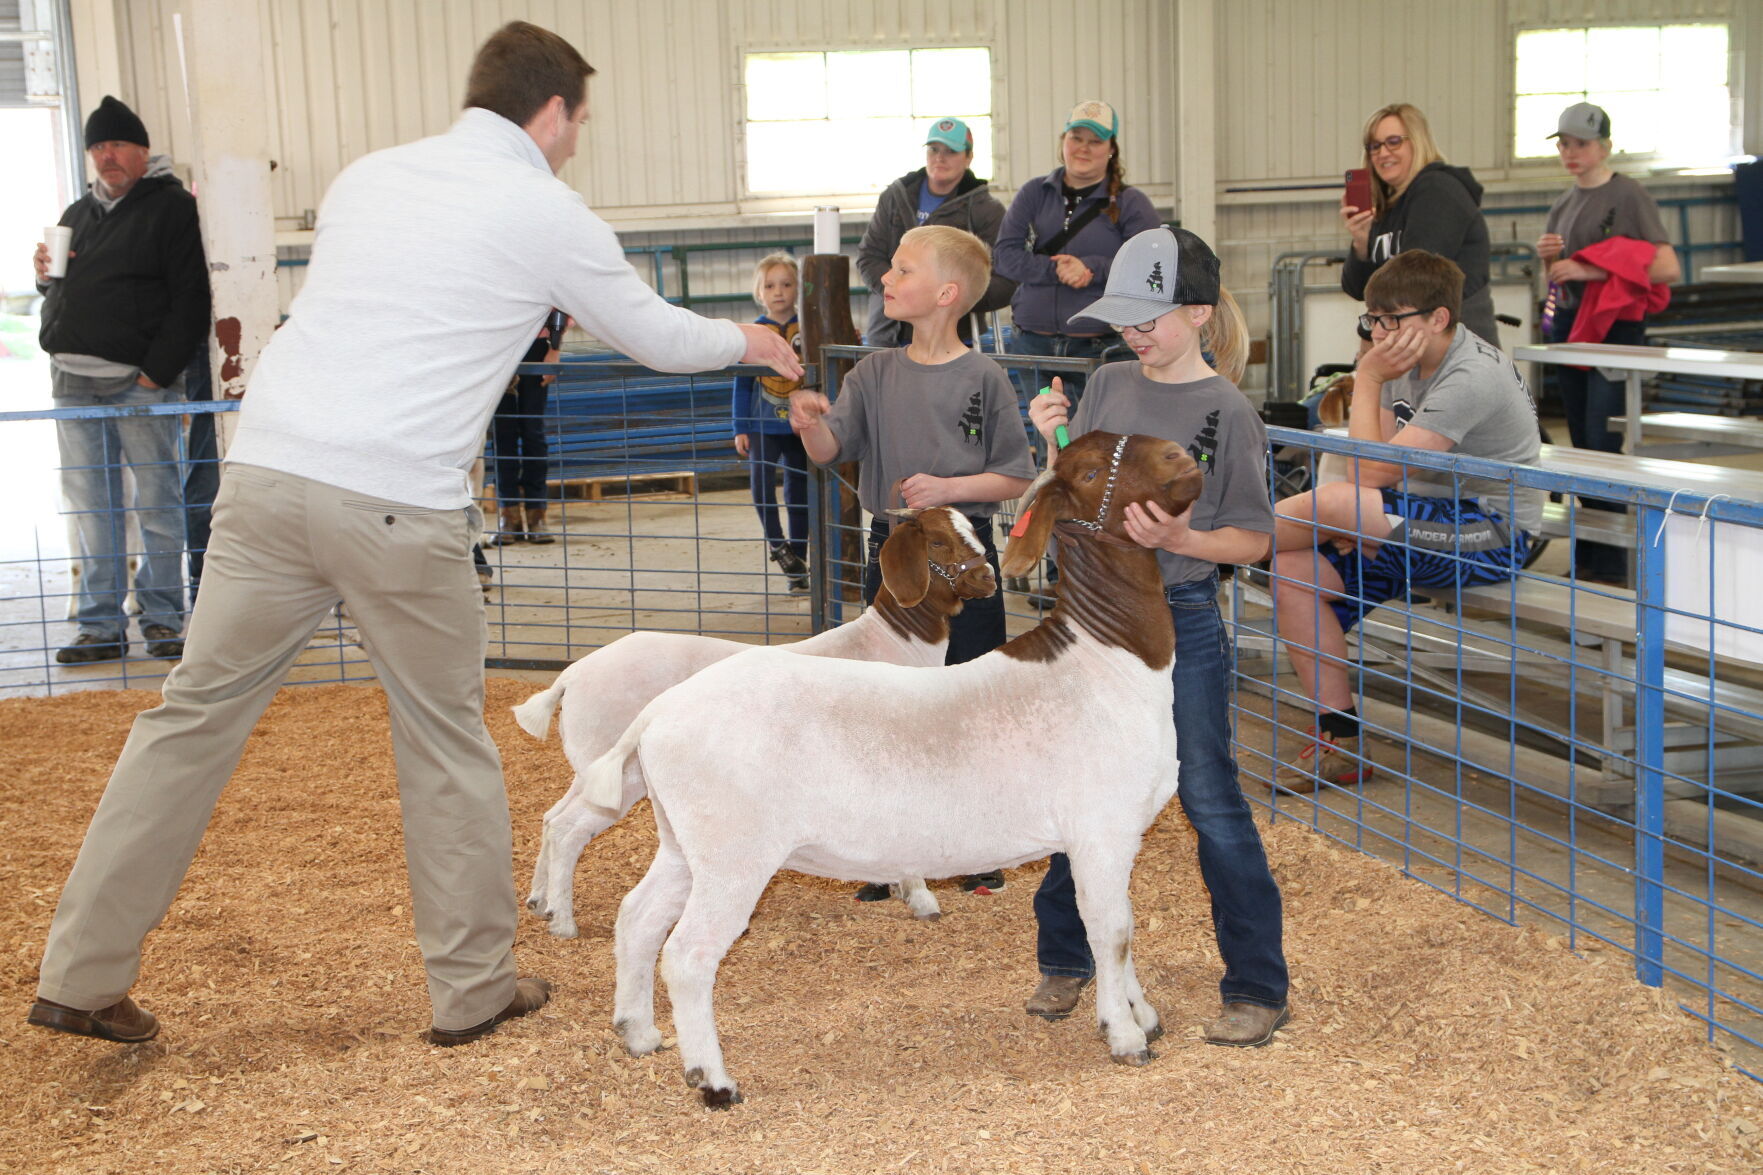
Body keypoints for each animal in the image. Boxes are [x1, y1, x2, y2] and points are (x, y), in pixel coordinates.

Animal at [514, 504, 1001, 931]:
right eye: (936, 541)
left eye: (974, 533)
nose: (988, 577)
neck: (897, 641)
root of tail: (572, 675)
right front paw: (921, 897)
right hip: (616, 769)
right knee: (569, 828)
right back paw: (563, 921)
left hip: (591, 766)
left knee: (552, 818)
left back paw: (540, 901)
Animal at [585, 432, 1205, 1107]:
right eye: (1091, 473)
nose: (1183, 456)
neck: (1108, 657)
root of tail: (657, 717)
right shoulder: (1101, 829)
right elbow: (1111, 932)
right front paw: (1126, 1035)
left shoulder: (1112, 837)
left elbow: (1122, 929)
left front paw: (1142, 1013)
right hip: (734, 851)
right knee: (689, 953)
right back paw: (713, 1080)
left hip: (683, 841)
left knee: (639, 918)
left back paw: (638, 1033)